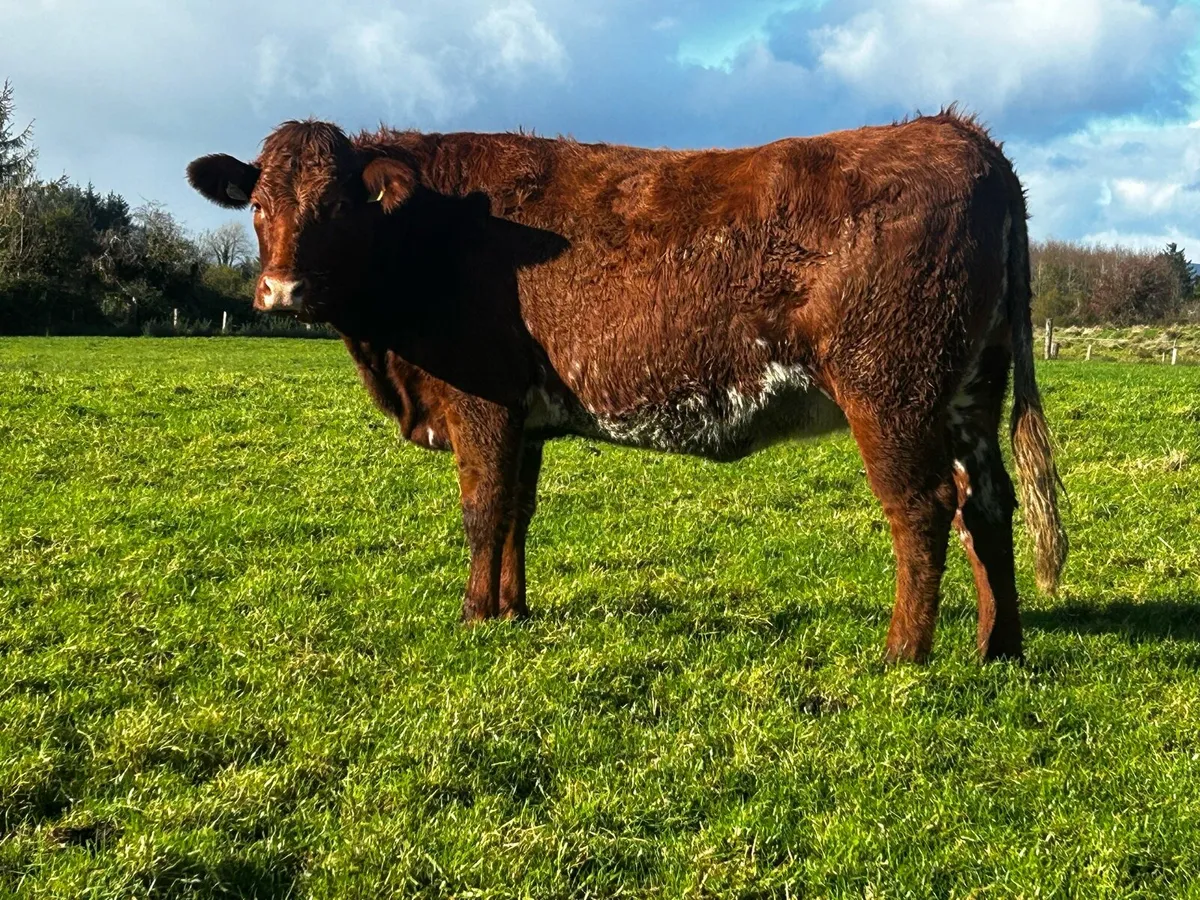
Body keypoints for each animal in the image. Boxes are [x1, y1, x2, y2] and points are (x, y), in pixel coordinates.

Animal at [187, 109, 1066, 662]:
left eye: (336, 206)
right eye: (258, 205)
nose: (281, 290)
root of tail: (958, 133)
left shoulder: (482, 402)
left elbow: (482, 510)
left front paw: (473, 616)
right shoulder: (525, 412)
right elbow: (518, 512)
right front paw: (512, 610)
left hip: (889, 390)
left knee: (924, 509)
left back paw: (901, 655)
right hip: (969, 389)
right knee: (988, 502)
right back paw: (997, 647)